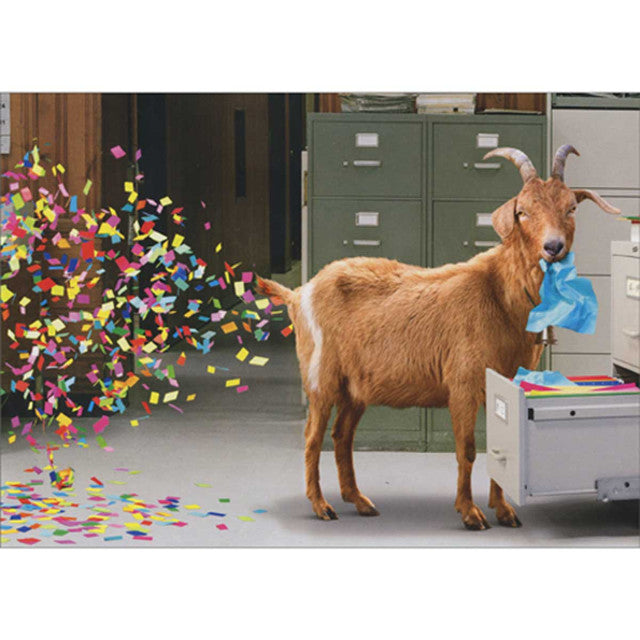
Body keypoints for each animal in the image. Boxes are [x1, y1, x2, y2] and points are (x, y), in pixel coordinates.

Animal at [256, 145, 620, 530]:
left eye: (571, 208)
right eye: (522, 211)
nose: (553, 246)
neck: (498, 296)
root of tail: (300, 293)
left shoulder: (502, 382)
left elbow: (498, 443)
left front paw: (504, 510)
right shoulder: (461, 383)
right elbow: (467, 449)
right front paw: (471, 513)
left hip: (355, 387)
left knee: (342, 435)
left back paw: (359, 501)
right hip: (320, 376)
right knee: (313, 437)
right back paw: (321, 506)